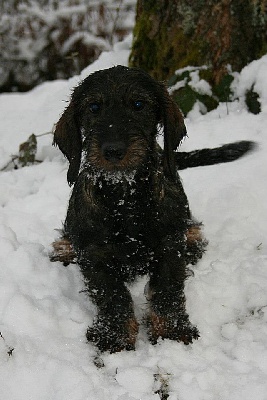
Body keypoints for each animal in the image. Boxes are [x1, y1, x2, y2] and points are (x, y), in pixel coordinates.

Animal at [52, 65, 255, 354]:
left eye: (139, 104)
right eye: (93, 107)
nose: (113, 151)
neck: (125, 198)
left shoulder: (168, 247)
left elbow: (167, 289)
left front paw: (170, 331)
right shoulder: (95, 256)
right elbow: (112, 295)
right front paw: (115, 336)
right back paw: (64, 248)